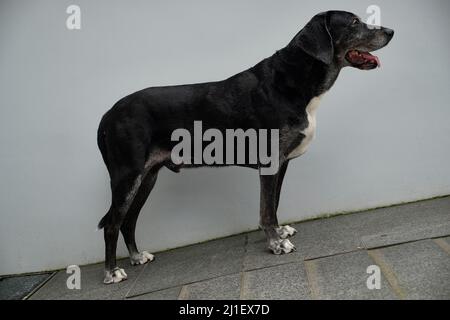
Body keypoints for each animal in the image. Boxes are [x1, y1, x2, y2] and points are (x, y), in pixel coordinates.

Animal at [96, 10, 392, 282]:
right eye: (353, 22)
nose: (390, 32)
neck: (295, 80)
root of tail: (108, 115)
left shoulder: (282, 163)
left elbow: (274, 203)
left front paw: (279, 232)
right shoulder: (270, 161)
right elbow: (266, 210)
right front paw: (276, 243)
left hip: (148, 177)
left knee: (128, 220)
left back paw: (136, 256)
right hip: (127, 177)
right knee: (112, 223)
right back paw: (111, 272)